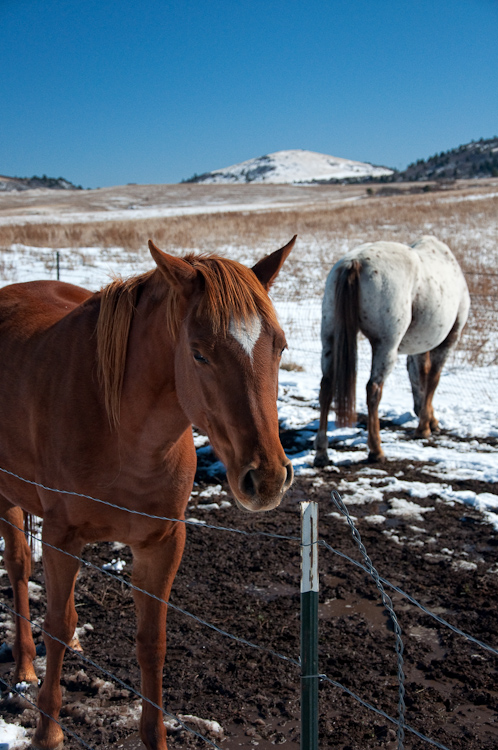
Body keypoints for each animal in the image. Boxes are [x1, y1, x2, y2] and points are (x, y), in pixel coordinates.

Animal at [0, 236, 296, 750]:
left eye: (277, 346)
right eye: (199, 354)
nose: (267, 479)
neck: (121, 431)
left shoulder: (161, 544)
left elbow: (151, 643)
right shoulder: (60, 537)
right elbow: (53, 625)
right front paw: (48, 731)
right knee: (18, 570)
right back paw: (23, 668)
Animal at [314, 235, 470, 466]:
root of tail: (355, 262)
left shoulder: (418, 346)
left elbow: (418, 376)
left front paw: (427, 417)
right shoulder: (449, 340)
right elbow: (432, 379)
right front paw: (425, 426)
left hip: (330, 339)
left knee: (326, 387)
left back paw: (322, 453)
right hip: (386, 346)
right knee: (373, 389)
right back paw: (376, 450)